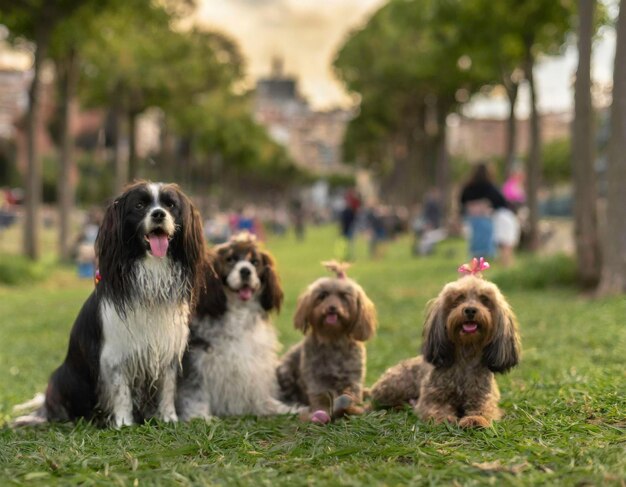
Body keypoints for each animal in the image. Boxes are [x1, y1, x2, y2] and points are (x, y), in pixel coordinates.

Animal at [176, 235, 302, 420]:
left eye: (255, 262)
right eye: (230, 259)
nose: (245, 271)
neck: (239, 311)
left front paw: (283, 408)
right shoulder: (196, 361)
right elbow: (194, 393)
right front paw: (200, 417)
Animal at [276, 262, 376, 426]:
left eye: (344, 296)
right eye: (322, 295)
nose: (332, 308)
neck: (333, 339)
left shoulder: (353, 377)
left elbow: (353, 393)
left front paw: (353, 408)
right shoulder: (316, 379)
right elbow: (320, 397)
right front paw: (321, 411)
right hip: (285, 369)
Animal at [370, 262, 516, 428]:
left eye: (484, 299)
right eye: (458, 299)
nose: (470, 310)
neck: (466, 354)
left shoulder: (483, 396)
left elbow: (484, 409)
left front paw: (475, 419)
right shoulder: (433, 395)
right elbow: (435, 407)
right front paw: (444, 418)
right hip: (395, 385)